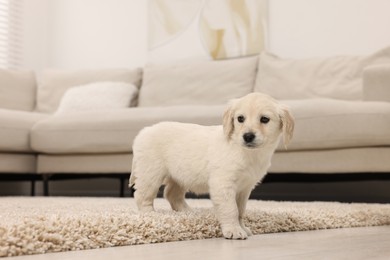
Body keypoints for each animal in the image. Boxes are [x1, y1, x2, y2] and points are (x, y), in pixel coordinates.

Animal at [129, 93, 294, 240]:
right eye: (240, 118)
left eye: (264, 119)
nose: (247, 136)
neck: (247, 152)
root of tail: (144, 131)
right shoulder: (223, 184)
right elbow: (231, 209)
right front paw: (233, 230)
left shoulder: (245, 188)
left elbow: (240, 210)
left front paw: (242, 227)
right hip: (150, 172)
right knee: (142, 195)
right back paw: (150, 214)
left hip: (180, 175)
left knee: (171, 194)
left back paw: (188, 212)